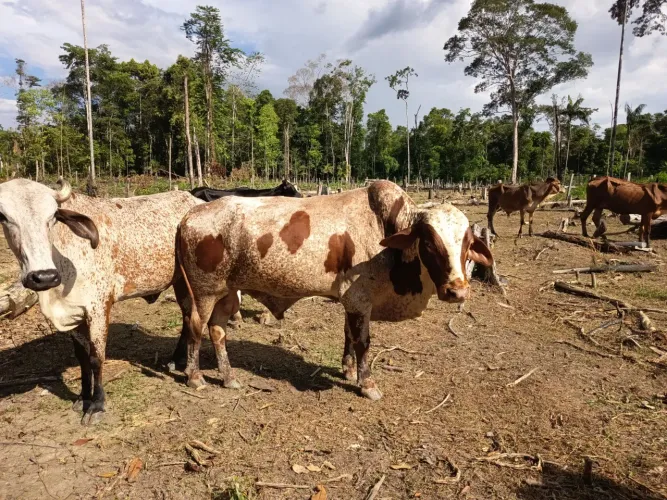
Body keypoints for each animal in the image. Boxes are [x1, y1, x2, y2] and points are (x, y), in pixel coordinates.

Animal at [0, 178, 201, 424]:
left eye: (53, 216)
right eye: (4, 216)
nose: (43, 276)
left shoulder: (98, 308)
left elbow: (96, 358)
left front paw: (97, 404)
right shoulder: (74, 314)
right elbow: (82, 358)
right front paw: (83, 397)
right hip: (179, 280)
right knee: (186, 315)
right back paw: (176, 359)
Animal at [176, 180, 493, 401]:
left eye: (467, 243)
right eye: (428, 242)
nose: (457, 291)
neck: (386, 234)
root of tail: (189, 216)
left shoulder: (352, 302)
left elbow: (349, 336)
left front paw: (349, 370)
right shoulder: (359, 299)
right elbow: (362, 341)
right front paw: (367, 384)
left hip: (227, 294)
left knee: (218, 330)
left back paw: (228, 376)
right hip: (204, 292)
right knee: (195, 327)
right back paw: (194, 376)